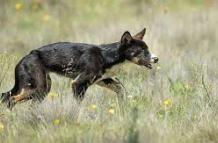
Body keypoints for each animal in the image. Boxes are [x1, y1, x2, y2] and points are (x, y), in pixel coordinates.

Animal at [0, 27, 158, 108]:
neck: (107, 56)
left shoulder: (102, 80)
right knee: (11, 99)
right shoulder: (78, 83)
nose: (156, 59)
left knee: (9, 97)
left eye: (148, 49)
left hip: (41, 89)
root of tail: (27, 56)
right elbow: (78, 106)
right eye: (142, 51)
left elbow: (121, 89)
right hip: (38, 87)